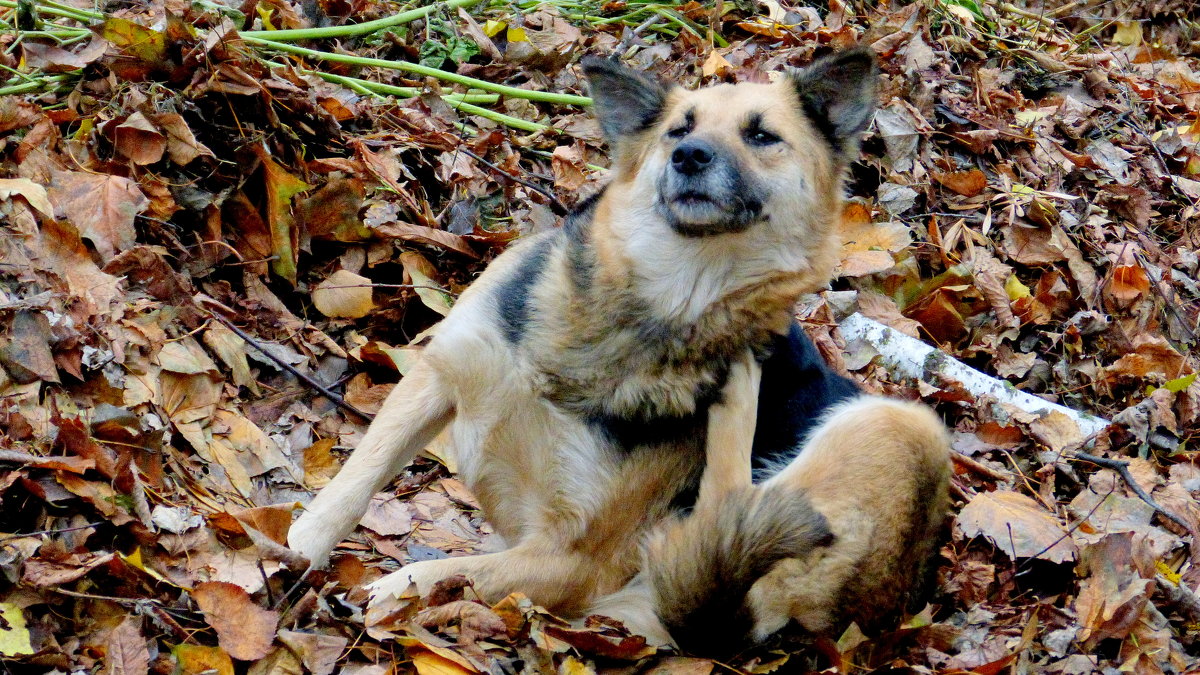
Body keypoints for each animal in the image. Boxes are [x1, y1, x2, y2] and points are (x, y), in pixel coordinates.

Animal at [288, 45, 945, 648]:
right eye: (679, 129)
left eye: (762, 135)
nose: (689, 156)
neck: (651, 309)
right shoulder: (437, 376)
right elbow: (353, 483)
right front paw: (290, 550)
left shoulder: (576, 561)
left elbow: (462, 572)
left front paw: (395, 589)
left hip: (901, 425)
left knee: (726, 512)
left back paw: (740, 388)